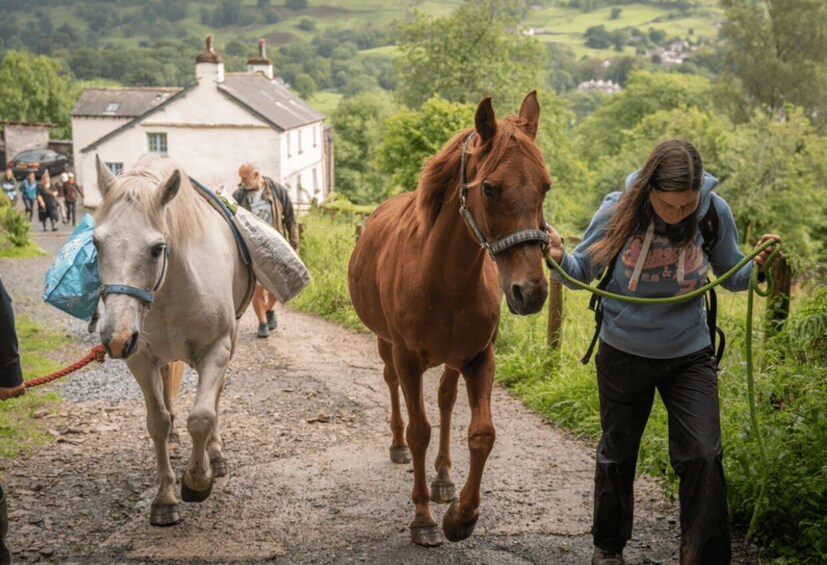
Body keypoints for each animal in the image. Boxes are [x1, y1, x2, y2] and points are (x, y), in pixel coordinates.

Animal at [93, 154, 252, 524]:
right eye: (96, 243)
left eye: (157, 248)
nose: (116, 338)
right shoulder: (140, 359)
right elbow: (158, 422)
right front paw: (165, 498)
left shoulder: (217, 350)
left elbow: (203, 416)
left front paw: (197, 481)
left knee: (215, 402)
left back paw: (215, 456)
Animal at [348, 92, 548, 548]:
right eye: (489, 188)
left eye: (546, 185)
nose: (530, 292)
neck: (443, 278)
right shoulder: (407, 359)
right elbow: (420, 429)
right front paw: (423, 518)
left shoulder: (479, 358)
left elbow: (481, 433)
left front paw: (461, 516)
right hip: (386, 345)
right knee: (392, 386)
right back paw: (397, 445)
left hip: (455, 360)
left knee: (445, 399)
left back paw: (442, 479)